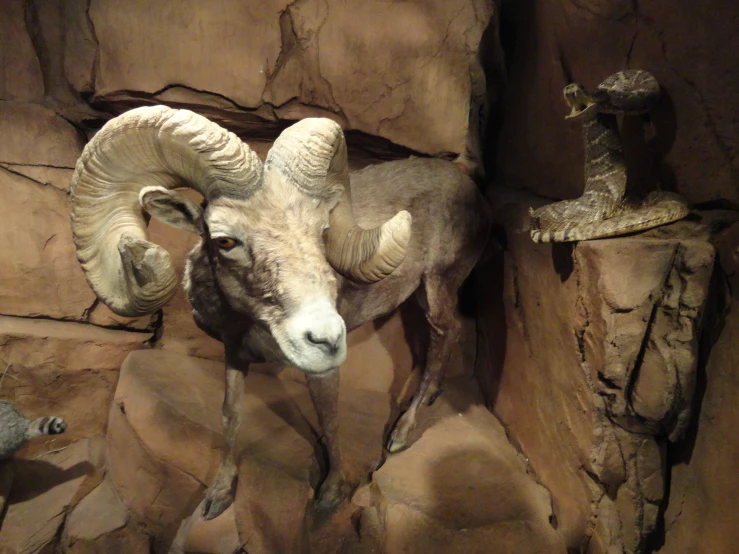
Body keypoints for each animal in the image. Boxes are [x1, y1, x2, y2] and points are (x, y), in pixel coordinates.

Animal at [69, 104, 494, 516]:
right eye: (224, 240)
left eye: (322, 230)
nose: (327, 340)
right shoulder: (234, 355)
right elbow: (230, 415)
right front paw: (218, 496)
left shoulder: (321, 373)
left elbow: (329, 420)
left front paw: (330, 494)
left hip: (438, 285)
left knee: (444, 334)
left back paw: (401, 434)